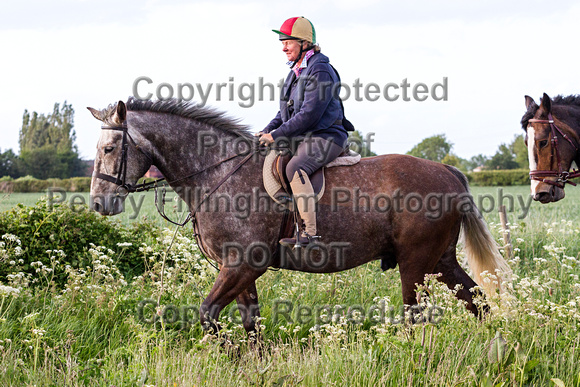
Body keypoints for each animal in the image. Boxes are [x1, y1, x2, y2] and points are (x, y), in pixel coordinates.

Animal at [88, 98, 510, 340]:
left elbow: (209, 317)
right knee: (478, 303)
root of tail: (448, 171)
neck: (217, 170)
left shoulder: (242, 264)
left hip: (415, 264)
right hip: (439, 261)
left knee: (417, 317)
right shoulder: (239, 270)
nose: (97, 204)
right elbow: (251, 325)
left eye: (109, 148)